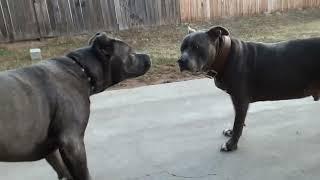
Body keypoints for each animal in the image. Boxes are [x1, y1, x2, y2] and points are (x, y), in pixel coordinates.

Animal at [0, 31, 151, 179]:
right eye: (131, 53)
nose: (149, 56)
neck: (82, 70)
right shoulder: (72, 144)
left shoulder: (51, 150)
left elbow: (63, 170)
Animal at [179, 25, 320, 152]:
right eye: (182, 48)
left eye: (197, 47)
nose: (180, 61)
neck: (226, 56)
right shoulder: (235, 100)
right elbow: (237, 119)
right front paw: (231, 132)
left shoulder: (241, 100)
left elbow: (238, 123)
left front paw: (231, 145)